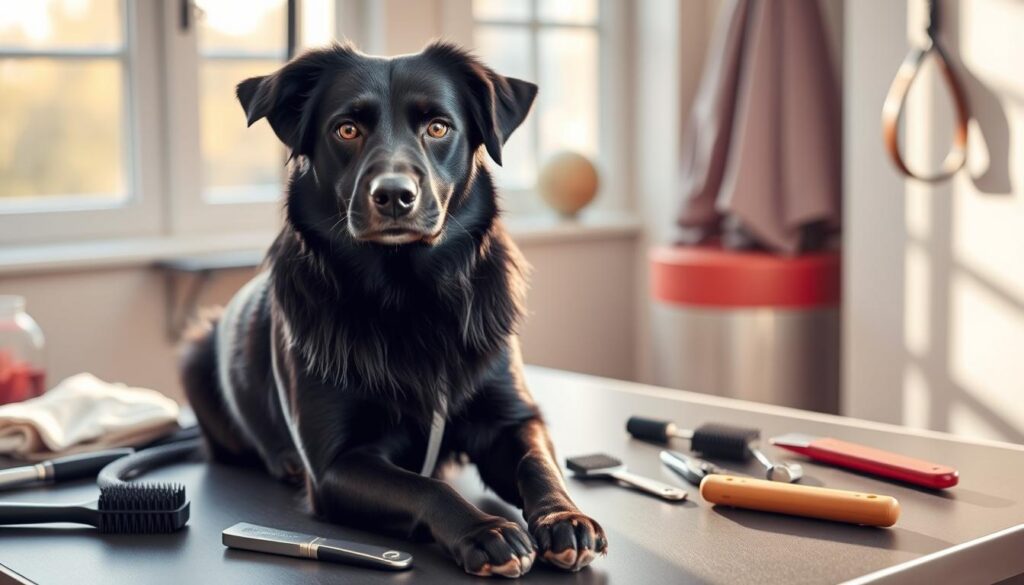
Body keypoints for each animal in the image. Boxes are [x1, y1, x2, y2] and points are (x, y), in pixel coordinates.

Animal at [180, 43, 602, 577]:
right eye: (346, 129)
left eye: (438, 127)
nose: (395, 196)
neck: (409, 296)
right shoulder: (337, 463)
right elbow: (424, 484)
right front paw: (485, 530)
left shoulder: (512, 419)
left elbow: (538, 463)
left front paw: (563, 515)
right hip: (194, 352)